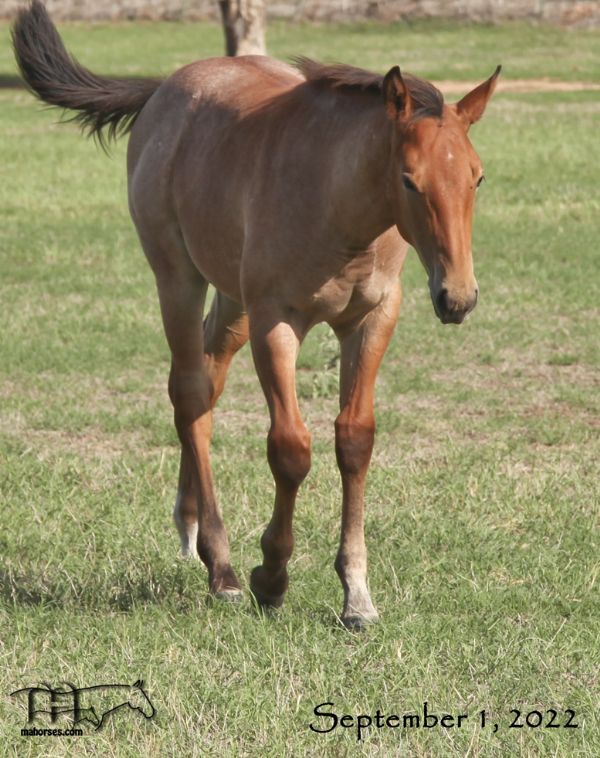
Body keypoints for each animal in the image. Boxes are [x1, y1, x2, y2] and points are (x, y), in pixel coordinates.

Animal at [15, 0, 502, 628]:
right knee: (191, 391)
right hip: (179, 278)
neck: (341, 210)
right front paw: (270, 576)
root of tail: (167, 88)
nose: (456, 297)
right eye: (408, 180)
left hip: (233, 299)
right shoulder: (278, 321)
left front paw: (357, 594)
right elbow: (290, 448)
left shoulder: (372, 319)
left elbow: (355, 440)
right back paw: (218, 564)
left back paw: (190, 522)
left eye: (478, 177)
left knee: (207, 378)